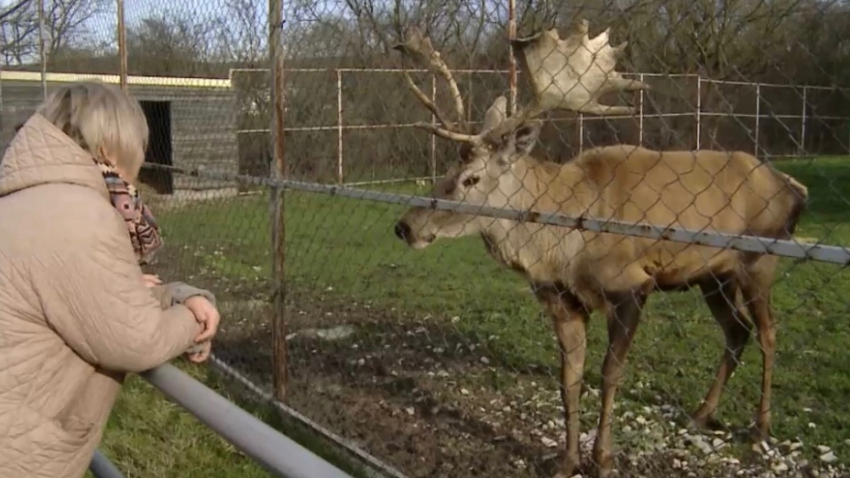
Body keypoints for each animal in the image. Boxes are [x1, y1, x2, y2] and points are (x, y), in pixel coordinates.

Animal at [388, 18, 804, 478]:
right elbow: (568, 378)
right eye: (447, 168)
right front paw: (567, 460)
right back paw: (701, 413)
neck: (563, 242)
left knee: (768, 331)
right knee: (737, 330)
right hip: (714, 275)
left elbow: (608, 373)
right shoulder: (561, 298)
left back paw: (760, 427)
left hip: (759, 259)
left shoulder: (632, 285)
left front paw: (602, 458)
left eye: (472, 178)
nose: (405, 226)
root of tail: (793, 188)